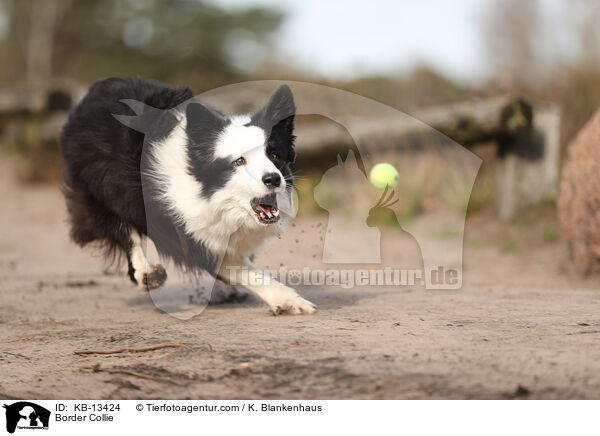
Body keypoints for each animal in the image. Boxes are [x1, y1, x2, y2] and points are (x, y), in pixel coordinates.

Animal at [59, 77, 316, 314]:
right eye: (239, 161)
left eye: (274, 155)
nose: (273, 179)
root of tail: (95, 88)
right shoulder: (189, 231)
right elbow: (241, 269)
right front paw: (290, 299)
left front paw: (286, 300)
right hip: (100, 188)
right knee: (123, 230)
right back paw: (145, 273)